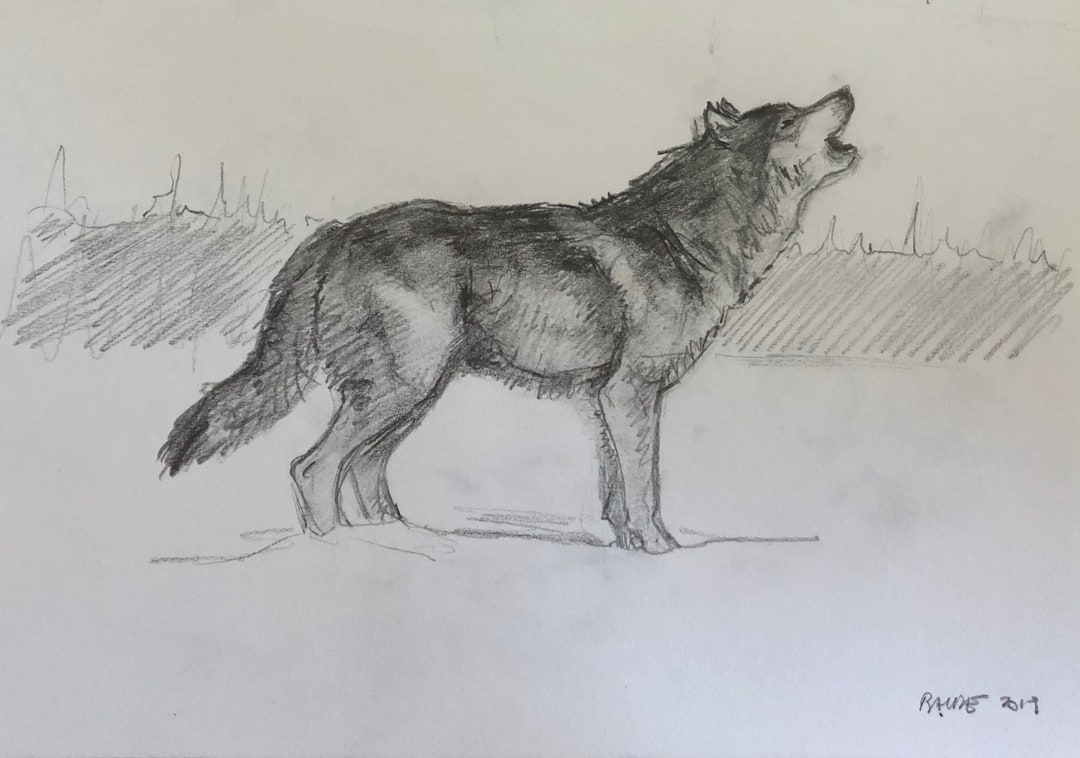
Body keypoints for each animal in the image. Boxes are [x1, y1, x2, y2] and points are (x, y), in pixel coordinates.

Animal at [160, 87, 859, 553]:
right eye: (791, 118)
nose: (847, 91)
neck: (684, 237)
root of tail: (335, 233)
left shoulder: (605, 400)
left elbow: (617, 490)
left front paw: (628, 547)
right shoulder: (631, 394)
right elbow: (645, 485)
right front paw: (662, 550)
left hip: (412, 396)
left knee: (363, 469)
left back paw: (407, 542)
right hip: (398, 391)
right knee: (314, 468)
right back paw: (343, 555)